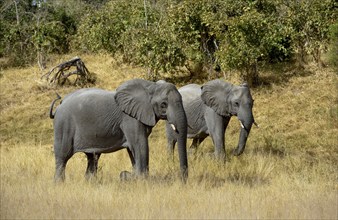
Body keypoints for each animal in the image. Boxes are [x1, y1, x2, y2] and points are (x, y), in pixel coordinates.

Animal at [50, 79, 189, 182]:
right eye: (163, 104)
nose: (183, 181)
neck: (151, 86)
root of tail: (60, 104)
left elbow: (133, 149)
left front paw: (133, 177)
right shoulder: (130, 119)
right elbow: (140, 144)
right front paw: (141, 180)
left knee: (92, 158)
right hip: (63, 124)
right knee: (62, 156)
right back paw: (59, 184)